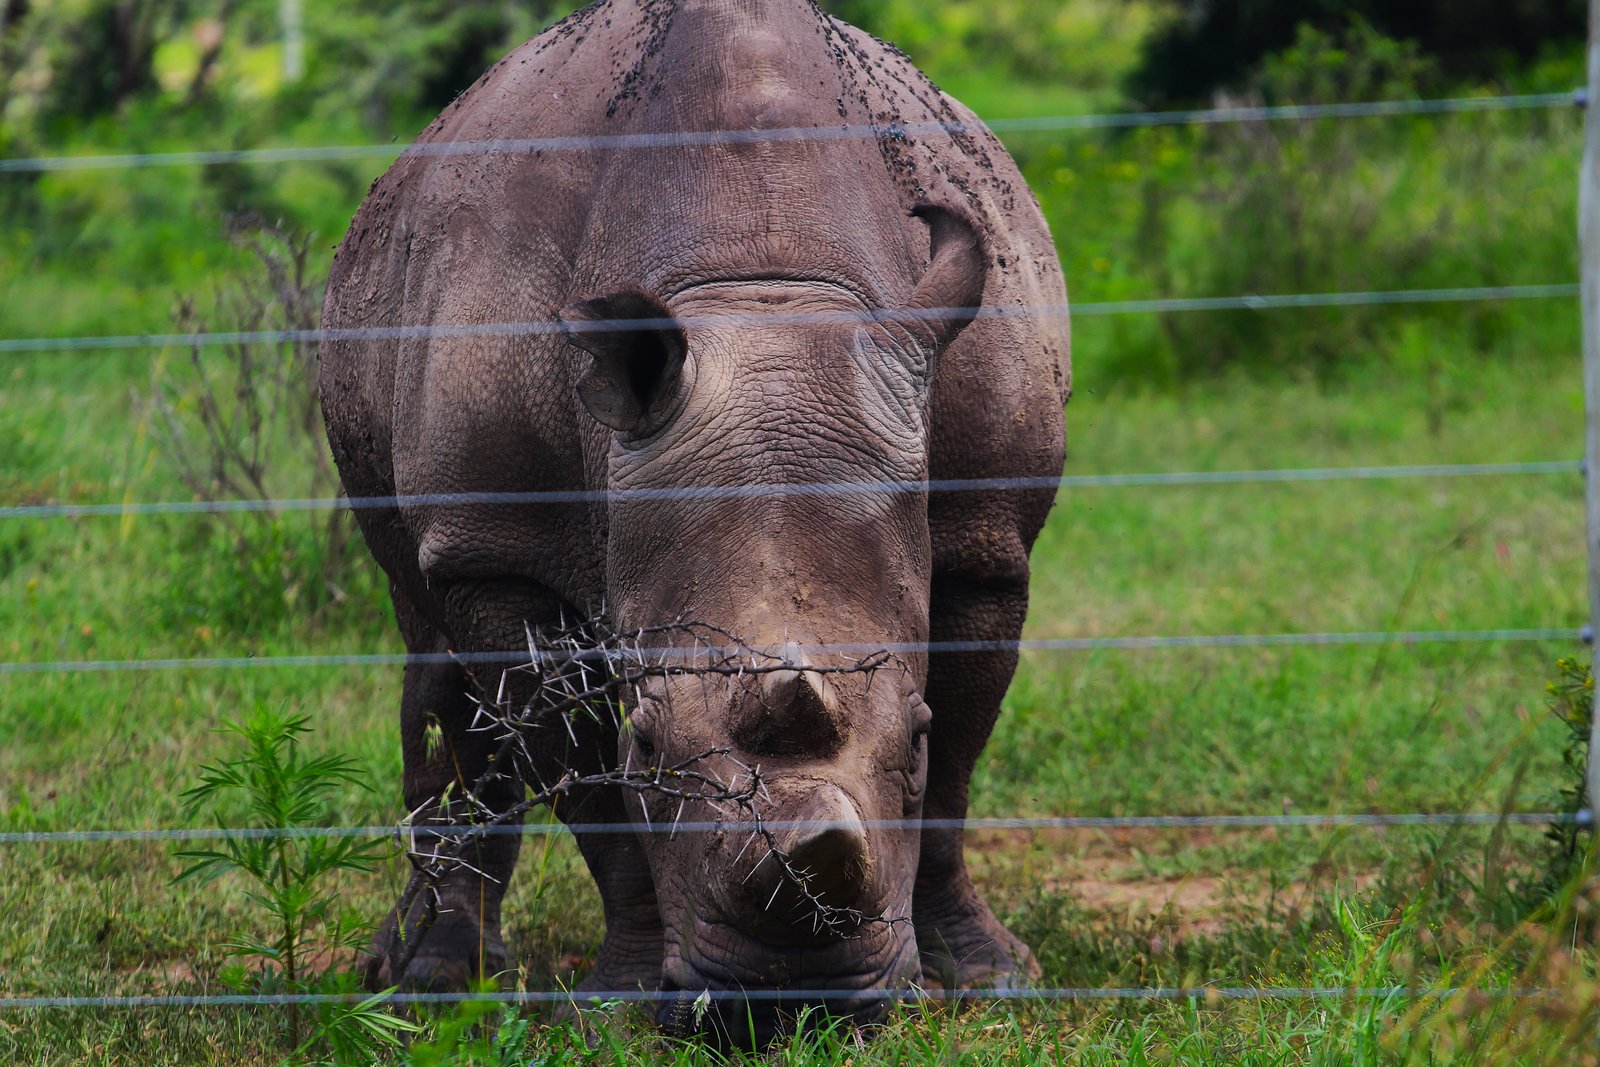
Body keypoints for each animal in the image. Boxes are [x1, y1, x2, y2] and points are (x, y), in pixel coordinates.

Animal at [319, 0, 1068, 1039]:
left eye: (909, 739)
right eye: (648, 742)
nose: (793, 1002)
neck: (761, 286)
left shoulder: (983, 537)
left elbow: (955, 765)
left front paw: (991, 977)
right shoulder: (503, 546)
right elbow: (588, 782)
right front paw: (623, 1000)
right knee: (427, 626)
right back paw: (424, 984)